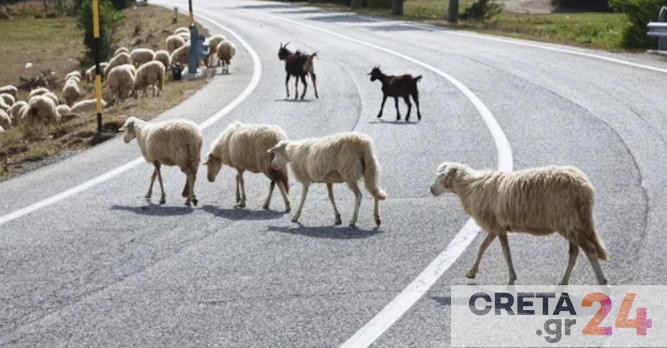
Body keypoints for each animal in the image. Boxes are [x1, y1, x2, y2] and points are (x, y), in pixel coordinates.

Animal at [434, 163, 612, 286]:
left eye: (440, 177)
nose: (431, 189)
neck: (471, 187)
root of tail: (585, 188)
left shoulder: (497, 226)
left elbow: (505, 252)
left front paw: (511, 278)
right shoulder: (497, 226)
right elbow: (483, 246)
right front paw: (472, 271)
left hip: (568, 221)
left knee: (589, 249)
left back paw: (602, 282)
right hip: (571, 223)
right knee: (574, 252)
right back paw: (563, 282)